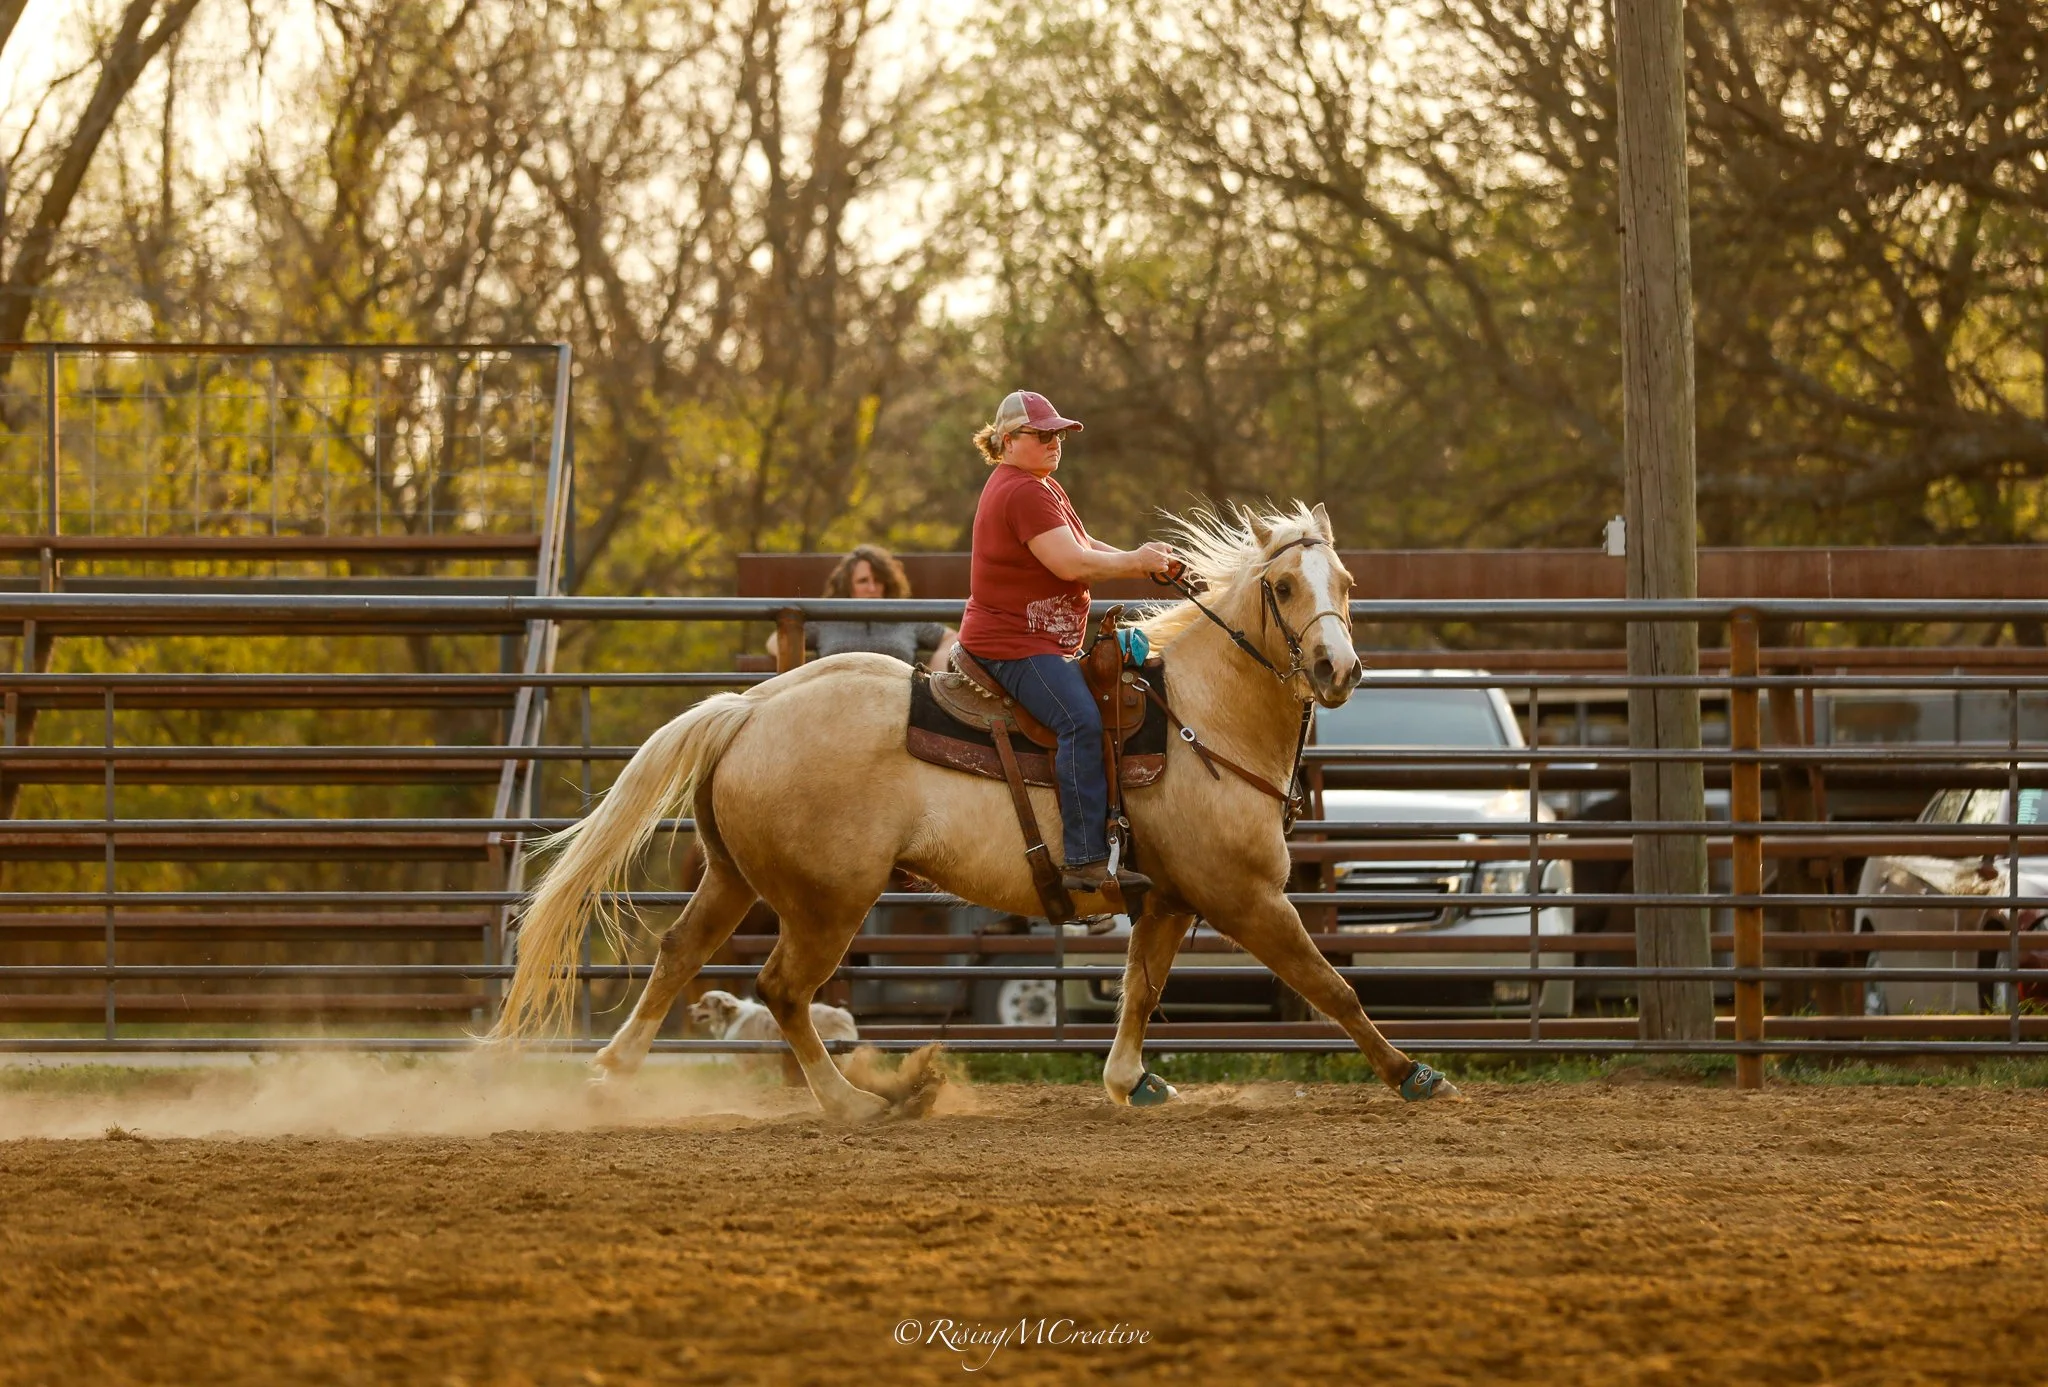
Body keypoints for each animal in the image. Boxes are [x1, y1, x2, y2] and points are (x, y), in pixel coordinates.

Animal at [490, 501, 1461, 1119]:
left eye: (1346, 579)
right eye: (1285, 588)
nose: (1340, 670)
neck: (1200, 716)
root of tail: (752, 708)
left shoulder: (1167, 900)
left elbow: (1141, 991)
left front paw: (1128, 1081)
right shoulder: (1246, 896)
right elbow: (1331, 984)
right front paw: (1414, 1073)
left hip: (737, 879)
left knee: (680, 955)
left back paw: (611, 1075)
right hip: (826, 900)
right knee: (784, 990)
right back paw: (856, 1102)